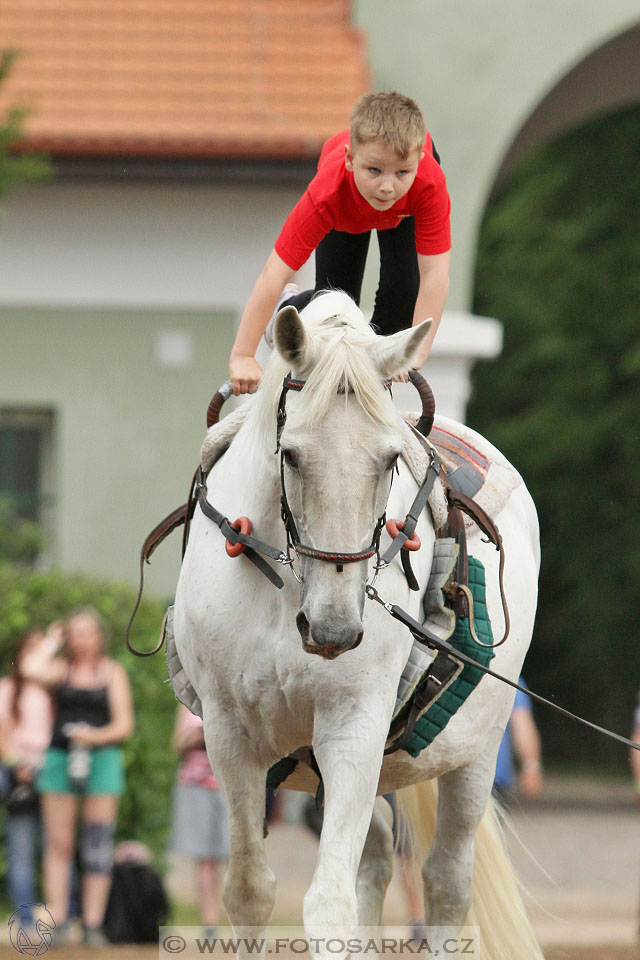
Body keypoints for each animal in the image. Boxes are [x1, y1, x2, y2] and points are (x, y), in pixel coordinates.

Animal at [172, 292, 544, 960]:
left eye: (390, 458)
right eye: (291, 453)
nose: (336, 630)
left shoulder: (353, 728)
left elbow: (329, 905)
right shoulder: (229, 736)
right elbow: (249, 893)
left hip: (477, 752)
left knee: (446, 882)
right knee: (375, 860)